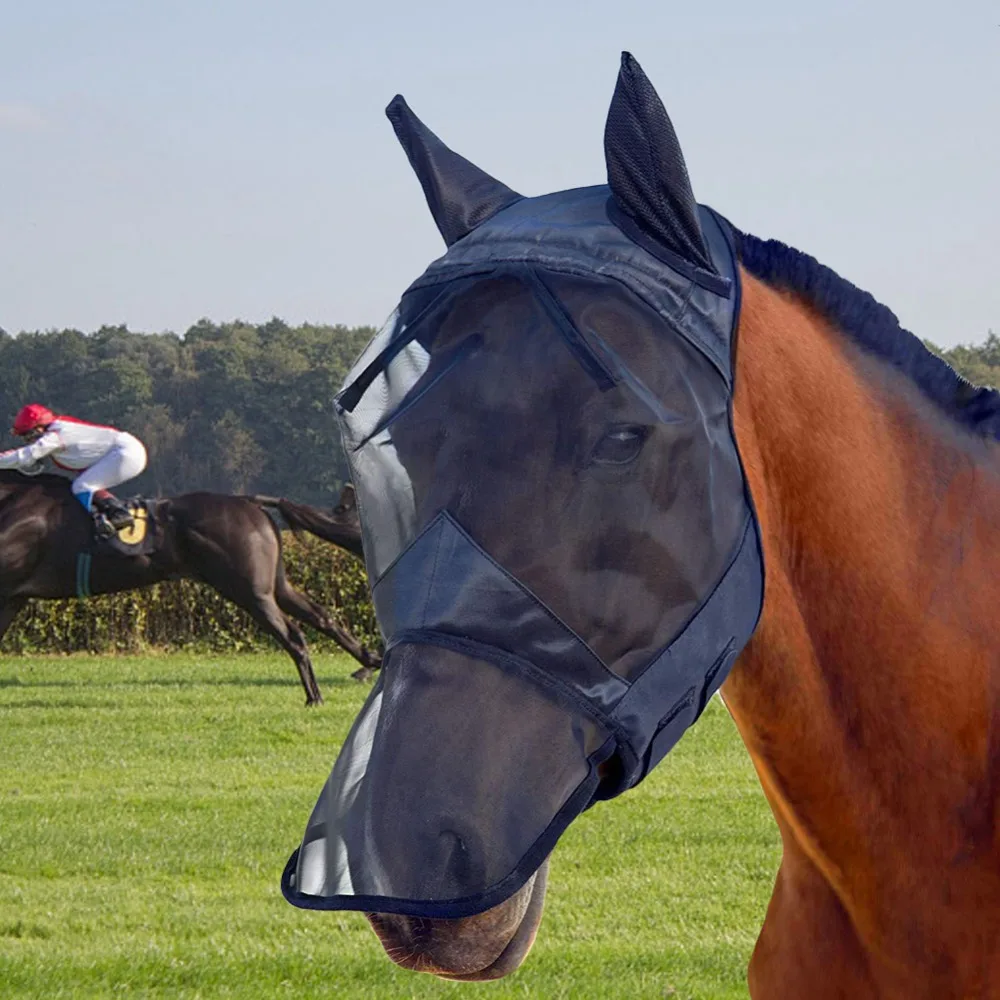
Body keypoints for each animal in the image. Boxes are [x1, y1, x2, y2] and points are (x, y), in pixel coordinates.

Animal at [0, 468, 378, 704]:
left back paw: (314, 695)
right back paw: (369, 660)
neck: (13, 503)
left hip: (249, 591)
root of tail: (248, 502)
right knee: (321, 616)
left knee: (294, 636)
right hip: (275, 585)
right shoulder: (12, 598)